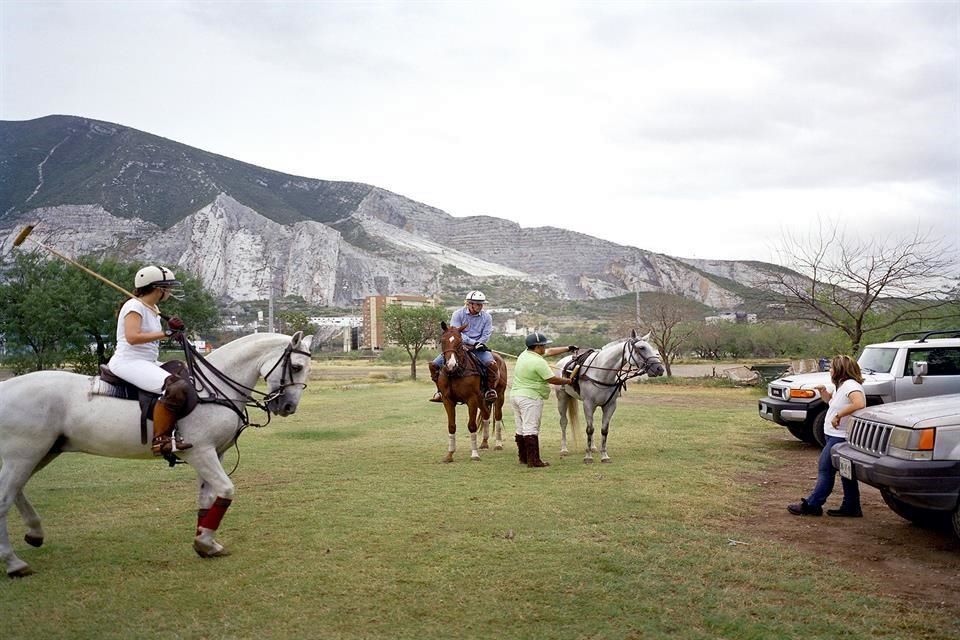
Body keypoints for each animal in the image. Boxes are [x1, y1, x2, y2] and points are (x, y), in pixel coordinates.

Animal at [0, 332, 314, 576]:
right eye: (297, 366)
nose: (288, 407)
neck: (215, 388)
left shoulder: (215, 453)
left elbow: (207, 500)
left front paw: (205, 544)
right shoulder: (201, 452)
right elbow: (226, 490)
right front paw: (205, 541)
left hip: (42, 452)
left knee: (17, 490)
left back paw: (35, 532)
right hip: (23, 453)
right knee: (5, 498)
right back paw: (14, 563)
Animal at [436, 322, 506, 462]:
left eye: (460, 342)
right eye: (443, 341)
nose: (451, 365)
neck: (456, 373)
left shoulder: (471, 399)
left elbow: (472, 425)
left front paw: (474, 454)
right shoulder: (447, 400)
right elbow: (451, 426)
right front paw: (449, 455)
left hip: (499, 396)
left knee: (497, 416)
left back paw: (498, 444)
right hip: (481, 399)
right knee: (485, 415)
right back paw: (484, 443)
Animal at [552, 332, 664, 462]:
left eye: (652, 348)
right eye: (641, 347)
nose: (659, 369)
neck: (601, 374)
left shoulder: (609, 406)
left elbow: (603, 430)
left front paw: (604, 455)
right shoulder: (588, 404)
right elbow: (589, 429)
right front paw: (588, 456)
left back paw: (593, 447)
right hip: (562, 398)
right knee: (564, 422)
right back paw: (564, 449)